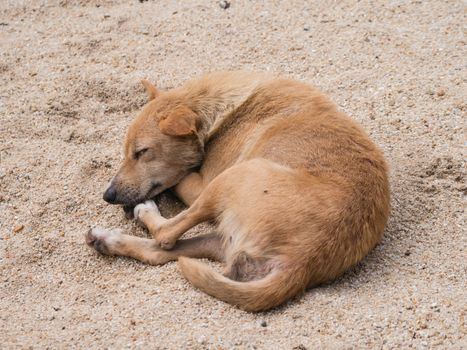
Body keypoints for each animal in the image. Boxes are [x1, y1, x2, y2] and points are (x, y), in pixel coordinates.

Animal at [85, 71, 392, 312]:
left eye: (142, 152)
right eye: (127, 151)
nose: (108, 195)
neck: (221, 109)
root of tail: (302, 263)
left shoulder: (201, 183)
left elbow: (180, 178)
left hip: (232, 178)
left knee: (166, 235)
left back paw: (143, 212)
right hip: (225, 240)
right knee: (160, 252)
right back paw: (107, 240)